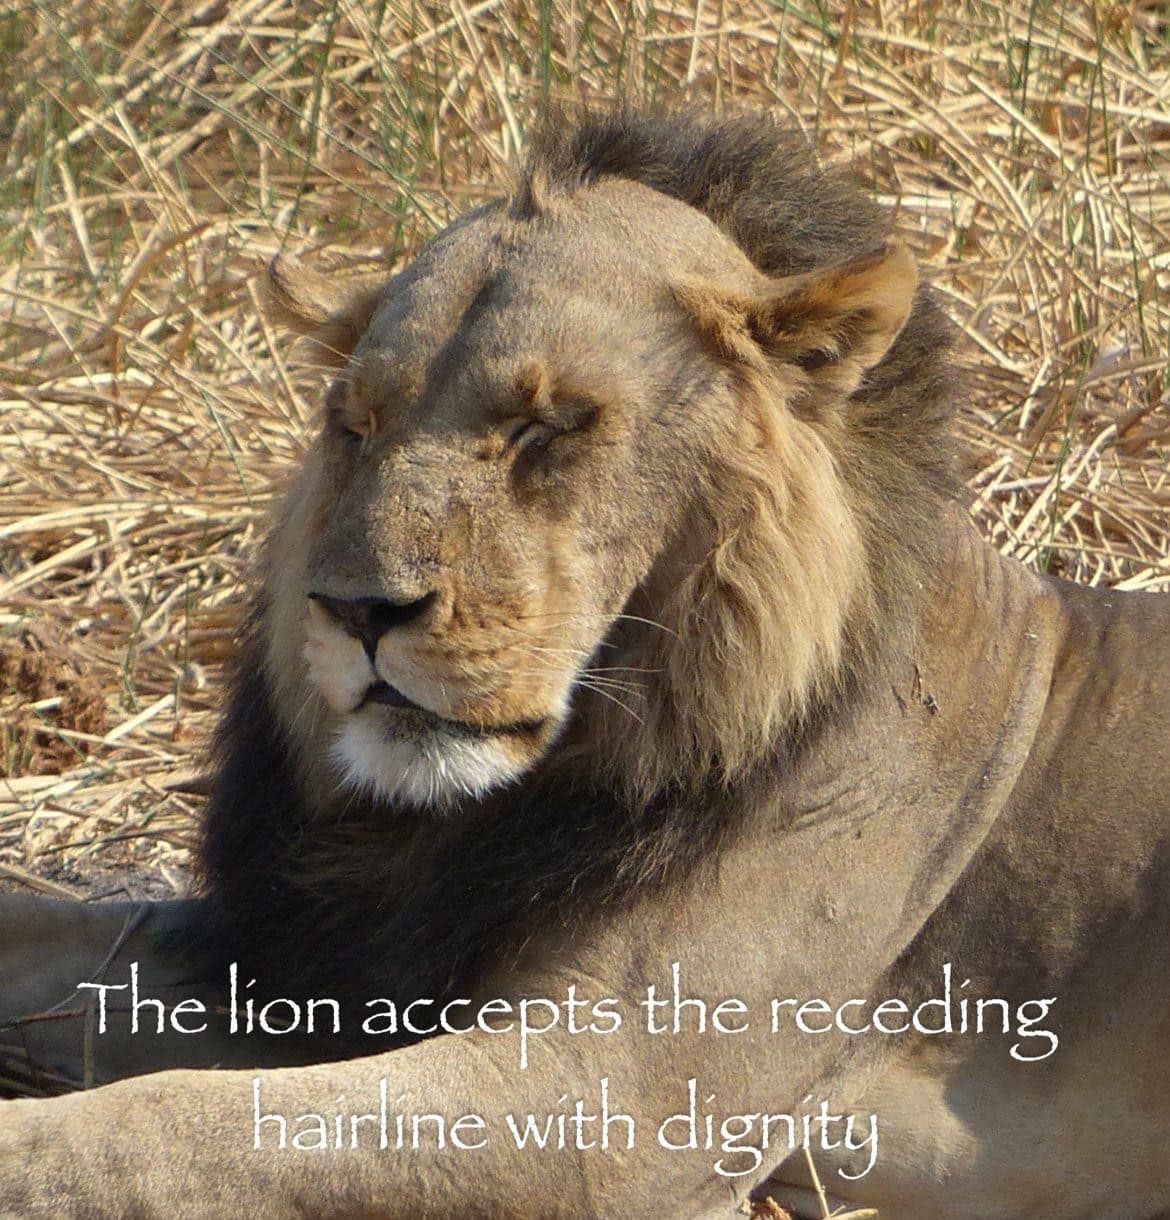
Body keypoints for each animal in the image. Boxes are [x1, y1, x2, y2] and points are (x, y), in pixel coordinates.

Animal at [1, 107, 1168, 1220]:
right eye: (355, 424)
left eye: (549, 426)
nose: (358, 608)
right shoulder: (314, 955)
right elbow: (49, 935)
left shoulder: (611, 1109)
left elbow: (174, 1124)